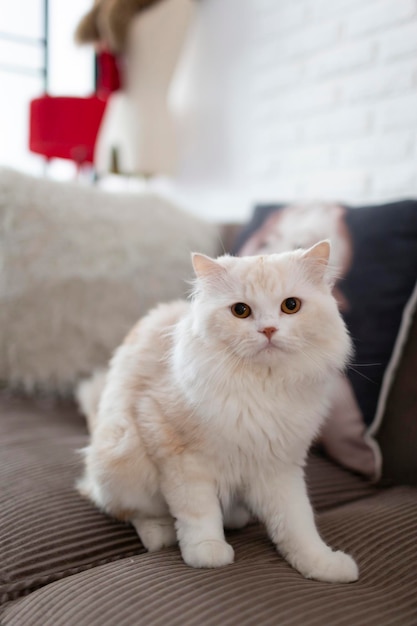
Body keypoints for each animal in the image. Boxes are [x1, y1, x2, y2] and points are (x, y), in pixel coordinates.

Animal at [77, 241, 358, 584]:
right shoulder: (180, 455)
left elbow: (297, 525)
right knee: (128, 510)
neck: (261, 388)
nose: (268, 330)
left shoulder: (280, 466)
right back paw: (161, 534)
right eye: (241, 311)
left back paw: (235, 517)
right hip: (121, 454)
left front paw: (323, 565)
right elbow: (199, 513)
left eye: (291, 306)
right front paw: (207, 553)